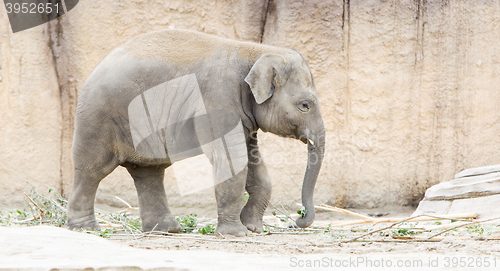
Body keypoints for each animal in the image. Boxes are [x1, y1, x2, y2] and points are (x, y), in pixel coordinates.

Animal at [68, 29, 326, 238]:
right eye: (305, 105)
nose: (296, 220)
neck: (256, 51)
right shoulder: (218, 101)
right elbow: (232, 160)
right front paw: (236, 234)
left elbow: (253, 163)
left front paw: (253, 228)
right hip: (98, 118)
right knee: (92, 170)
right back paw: (86, 229)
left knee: (149, 172)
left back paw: (167, 230)